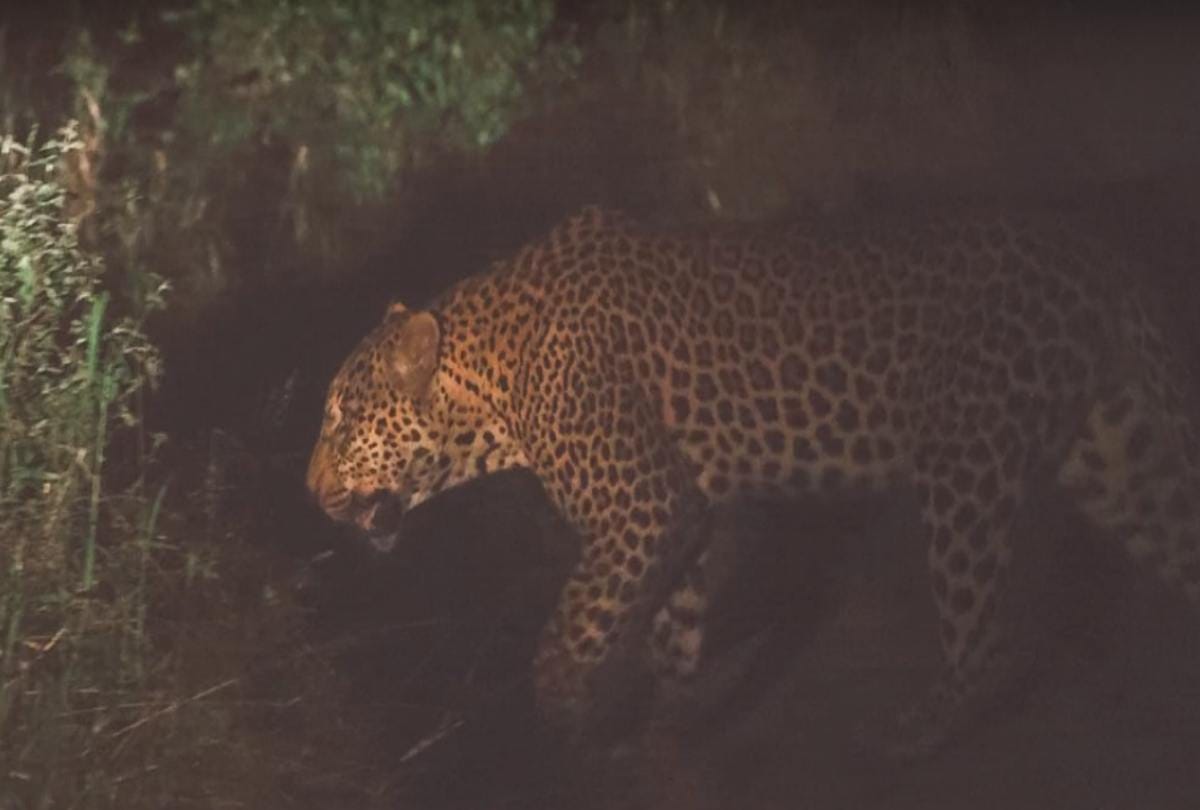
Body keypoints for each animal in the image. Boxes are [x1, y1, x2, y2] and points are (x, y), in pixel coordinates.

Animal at [306, 205, 1200, 756]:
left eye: (342, 418)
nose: (309, 492)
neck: (488, 386)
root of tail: (1092, 252)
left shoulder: (640, 506)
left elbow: (570, 629)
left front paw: (563, 721)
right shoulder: (680, 513)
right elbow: (672, 628)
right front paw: (666, 732)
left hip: (965, 458)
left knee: (989, 631)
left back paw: (918, 731)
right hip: (1113, 454)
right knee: (1169, 533)